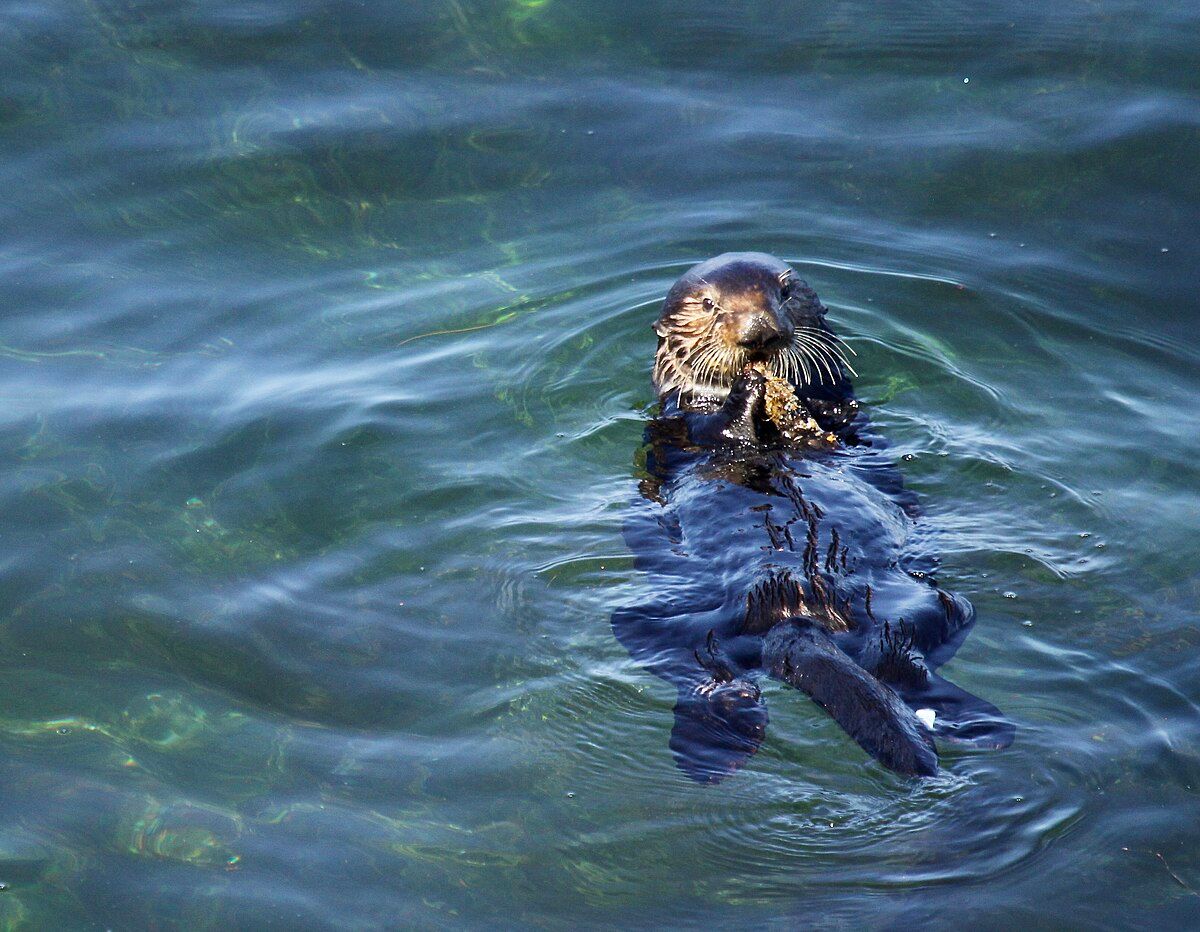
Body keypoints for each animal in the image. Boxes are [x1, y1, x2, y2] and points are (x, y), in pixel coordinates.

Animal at [613, 252, 1013, 780]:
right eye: (708, 304)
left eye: (782, 294)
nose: (759, 332)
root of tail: (797, 610)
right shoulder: (679, 424)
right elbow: (713, 431)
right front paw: (746, 391)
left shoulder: (843, 414)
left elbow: (829, 422)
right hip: (657, 624)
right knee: (712, 674)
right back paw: (712, 749)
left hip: (927, 608)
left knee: (902, 664)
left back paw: (974, 725)